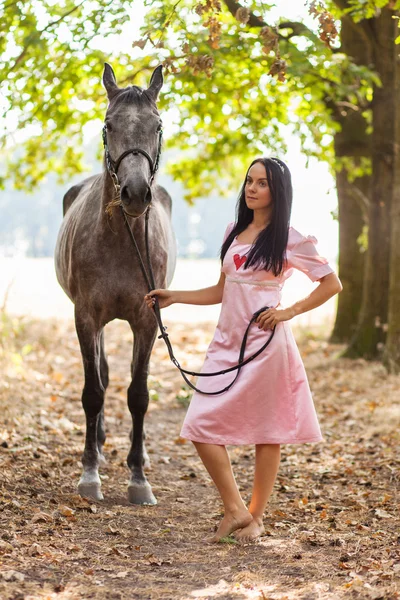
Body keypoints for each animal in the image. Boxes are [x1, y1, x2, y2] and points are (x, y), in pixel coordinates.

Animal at [55, 63, 177, 504]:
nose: (136, 194)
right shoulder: (86, 316)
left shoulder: (147, 321)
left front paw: (139, 478)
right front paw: (90, 473)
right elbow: (93, 391)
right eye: (109, 124)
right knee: (103, 375)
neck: (122, 239)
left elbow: (138, 396)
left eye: (158, 125)